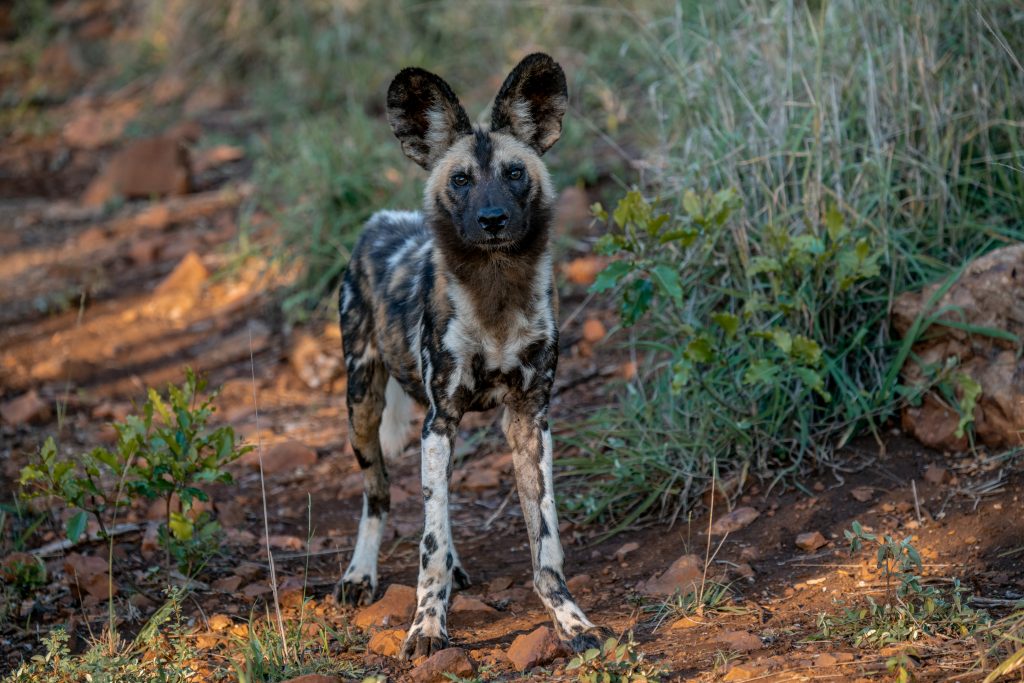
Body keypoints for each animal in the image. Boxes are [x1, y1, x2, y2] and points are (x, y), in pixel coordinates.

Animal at [335, 50, 602, 659]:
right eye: (460, 180)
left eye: (514, 173)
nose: (493, 219)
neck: (496, 293)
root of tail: (379, 220)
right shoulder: (440, 419)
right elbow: (429, 546)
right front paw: (427, 628)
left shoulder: (529, 419)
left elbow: (545, 546)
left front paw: (570, 621)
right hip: (363, 406)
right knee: (378, 494)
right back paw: (361, 575)